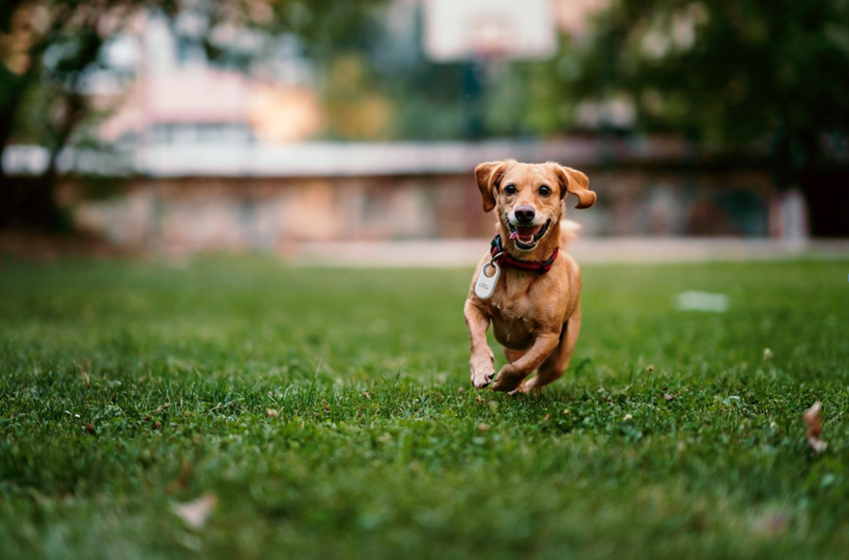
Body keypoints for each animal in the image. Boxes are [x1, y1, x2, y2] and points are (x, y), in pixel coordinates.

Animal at [464, 160, 596, 392]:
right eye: (509, 188)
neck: (522, 266)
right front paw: (481, 369)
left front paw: (504, 382)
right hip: (512, 347)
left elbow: (524, 365)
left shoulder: (548, 336)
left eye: (544, 190)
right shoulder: (473, 306)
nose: (524, 213)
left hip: (562, 356)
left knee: (541, 375)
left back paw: (524, 390)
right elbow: (477, 339)